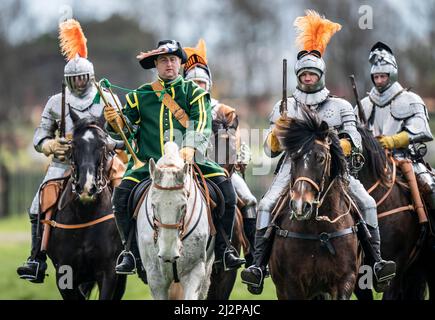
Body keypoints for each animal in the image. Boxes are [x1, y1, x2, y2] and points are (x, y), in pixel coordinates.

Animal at [270, 110, 362, 300]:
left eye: (320, 158)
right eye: (294, 158)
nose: (300, 205)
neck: (320, 231)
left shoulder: (345, 280)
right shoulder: (292, 284)